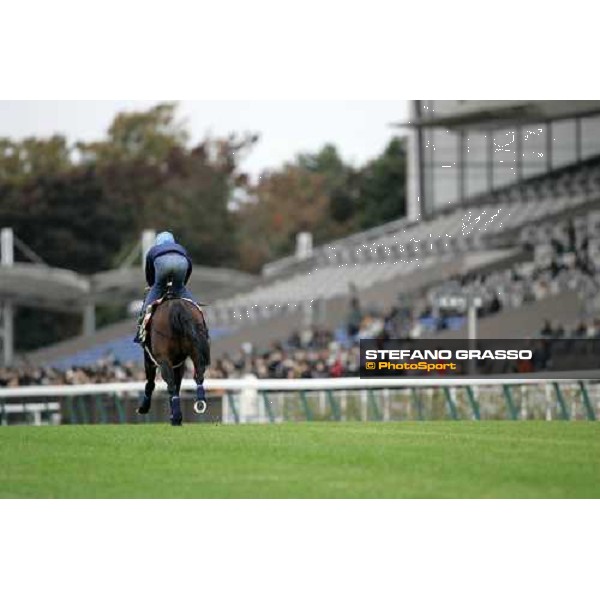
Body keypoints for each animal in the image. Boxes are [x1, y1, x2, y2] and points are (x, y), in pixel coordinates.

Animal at [136, 288, 211, 424]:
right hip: (195, 351)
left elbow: (151, 382)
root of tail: (177, 307)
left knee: (170, 383)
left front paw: (143, 408)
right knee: (199, 374)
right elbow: (178, 384)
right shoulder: (179, 363)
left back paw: (176, 417)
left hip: (164, 359)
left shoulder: (150, 358)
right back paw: (200, 403)